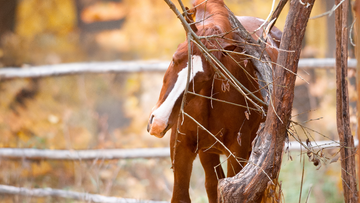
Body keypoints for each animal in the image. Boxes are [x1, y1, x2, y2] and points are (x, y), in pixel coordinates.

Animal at [146, 0, 282, 202]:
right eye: (174, 59)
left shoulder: (237, 152)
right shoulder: (181, 146)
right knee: (211, 185)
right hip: (208, 152)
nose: (158, 123)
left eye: (205, 77)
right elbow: (182, 195)